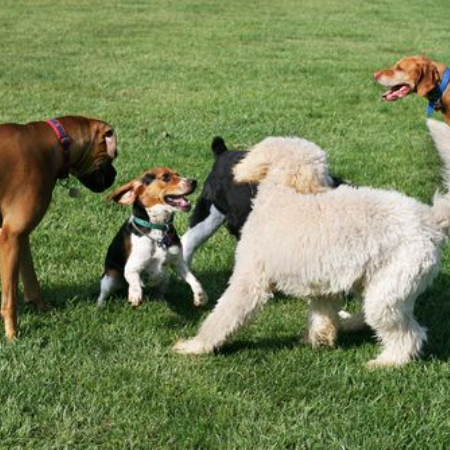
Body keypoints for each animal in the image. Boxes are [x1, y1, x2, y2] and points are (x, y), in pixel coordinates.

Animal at [0, 114, 118, 340]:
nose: (115, 175)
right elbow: (9, 296)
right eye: (113, 157)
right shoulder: (11, 236)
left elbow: (30, 278)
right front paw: (12, 332)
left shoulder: (20, 237)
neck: (54, 143)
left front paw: (40, 307)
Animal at [97, 167, 208, 308]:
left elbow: (193, 279)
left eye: (178, 174)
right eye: (166, 177)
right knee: (102, 294)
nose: (194, 181)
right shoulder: (132, 267)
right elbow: (135, 282)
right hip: (110, 278)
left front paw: (200, 296)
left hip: (165, 278)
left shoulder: (178, 262)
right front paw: (135, 295)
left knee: (159, 292)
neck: (158, 230)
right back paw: (99, 307)